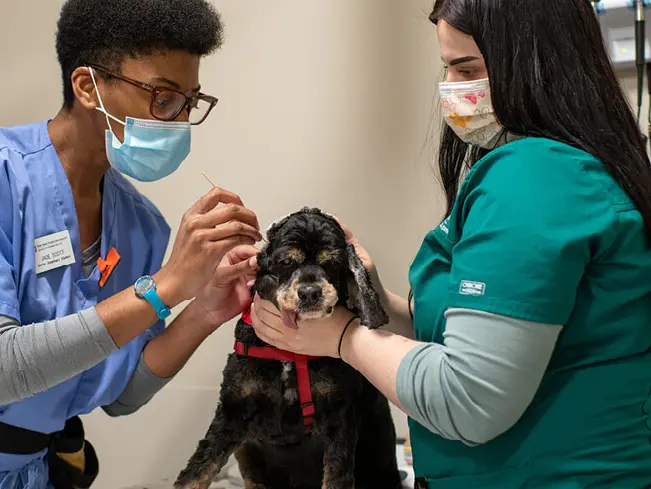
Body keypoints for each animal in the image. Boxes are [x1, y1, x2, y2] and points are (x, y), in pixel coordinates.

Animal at [176, 207, 404, 488]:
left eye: (332, 263)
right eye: (286, 262)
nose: (310, 293)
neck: (290, 356)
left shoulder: (339, 417)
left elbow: (336, 476)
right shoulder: (232, 410)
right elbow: (197, 470)